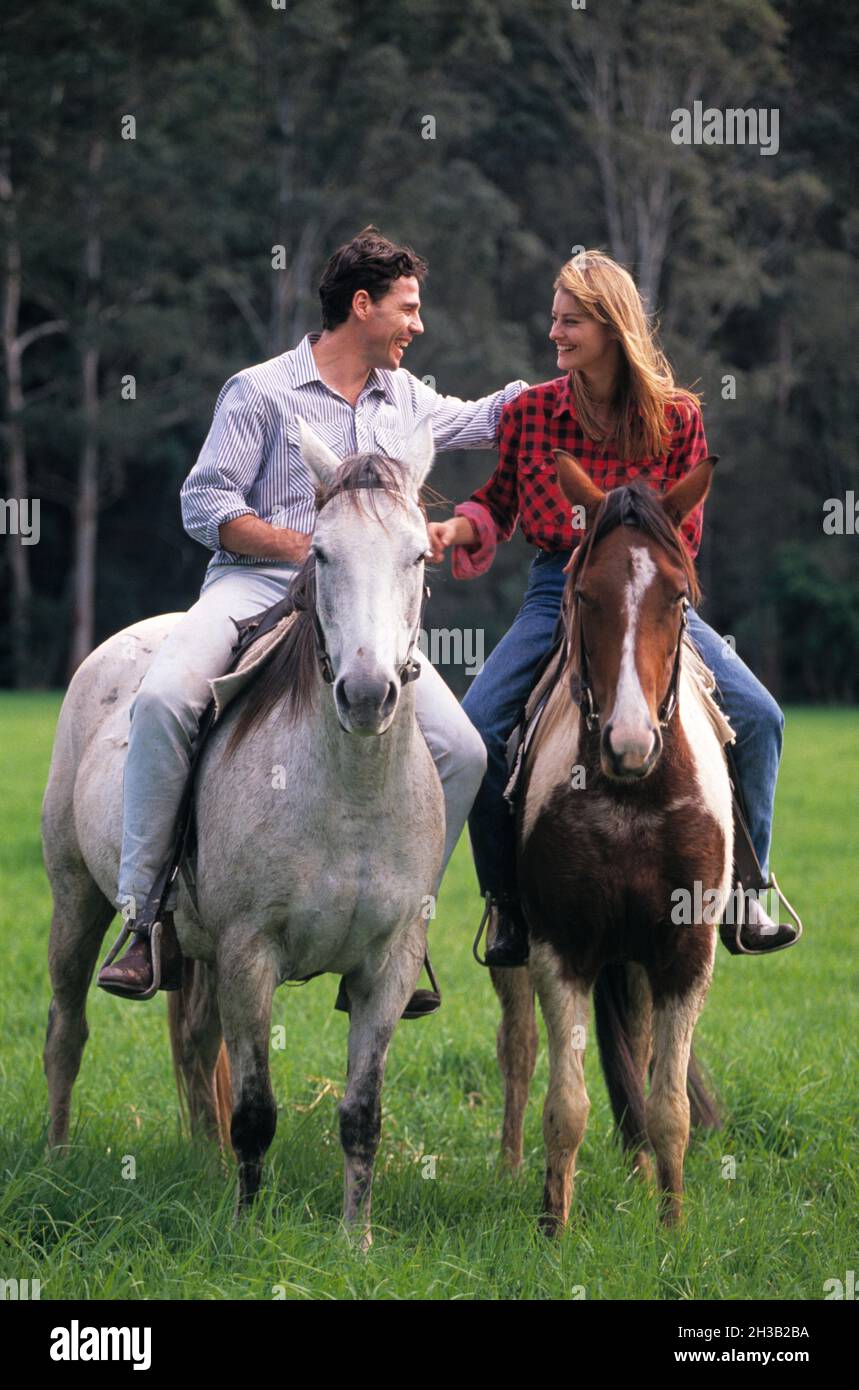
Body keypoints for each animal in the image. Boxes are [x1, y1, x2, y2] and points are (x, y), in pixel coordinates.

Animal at [42, 419, 444, 1247]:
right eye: (319, 553)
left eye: (419, 556)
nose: (366, 694)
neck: (349, 791)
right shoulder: (249, 953)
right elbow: (255, 1110)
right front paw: (245, 1232)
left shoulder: (386, 968)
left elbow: (362, 1114)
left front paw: (354, 1243)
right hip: (75, 898)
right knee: (68, 1030)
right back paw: (57, 1159)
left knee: (194, 1048)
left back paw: (201, 1165)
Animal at [491, 452, 730, 1233]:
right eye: (585, 595)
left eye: (677, 598)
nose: (629, 743)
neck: (634, 797)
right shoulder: (558, 946)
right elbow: (564, 1107)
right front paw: (551, 1227)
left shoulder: (684, 953)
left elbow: (669, 1109)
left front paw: (672, 1227)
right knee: (519, 1048)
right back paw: (509, 1170)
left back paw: (637, 1174)